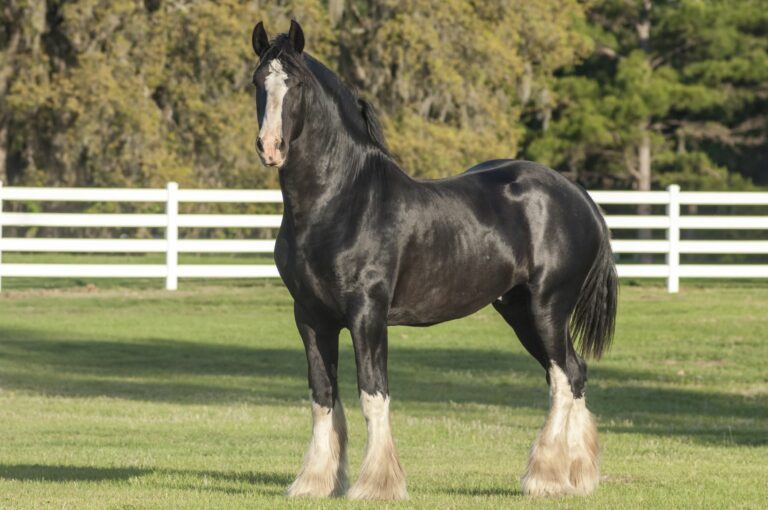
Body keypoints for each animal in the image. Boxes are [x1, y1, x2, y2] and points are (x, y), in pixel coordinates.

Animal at [250, 20, 616, 502]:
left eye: (298, 85)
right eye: (257, 82)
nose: (270, 147)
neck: (343, 201)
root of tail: (580, 197)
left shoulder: (367, 314)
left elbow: (373, 394)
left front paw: (377, 485)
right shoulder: (311, 317)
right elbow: (322, 394)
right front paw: (315, 482)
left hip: (547, 309)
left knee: (560, 378)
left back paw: (544, 477)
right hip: (518, 310)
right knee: (574, 372)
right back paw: (577, 477)